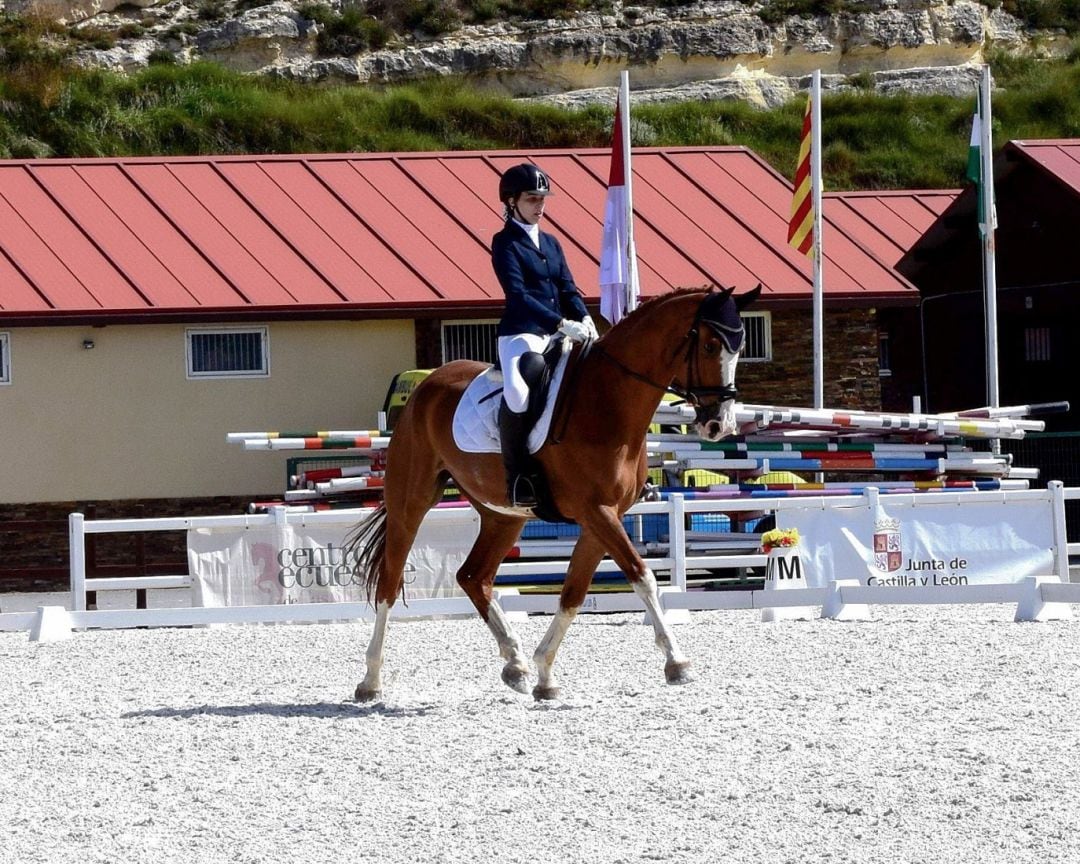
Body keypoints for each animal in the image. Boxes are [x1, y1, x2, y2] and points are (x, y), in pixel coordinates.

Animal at [345, 282, 760, 699]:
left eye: (739, 348)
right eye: (710, 346)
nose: (719, 426)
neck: (608, 403)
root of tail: (426, 386)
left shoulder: (602, 518)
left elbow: (573, 594)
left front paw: (544, 674)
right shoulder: (597, 512)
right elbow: (642, 577)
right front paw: (677, 663)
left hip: (503, 515)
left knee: (473, 576)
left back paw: (515, 664)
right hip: (410, 503)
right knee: (390, 580)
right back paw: (370, 680)